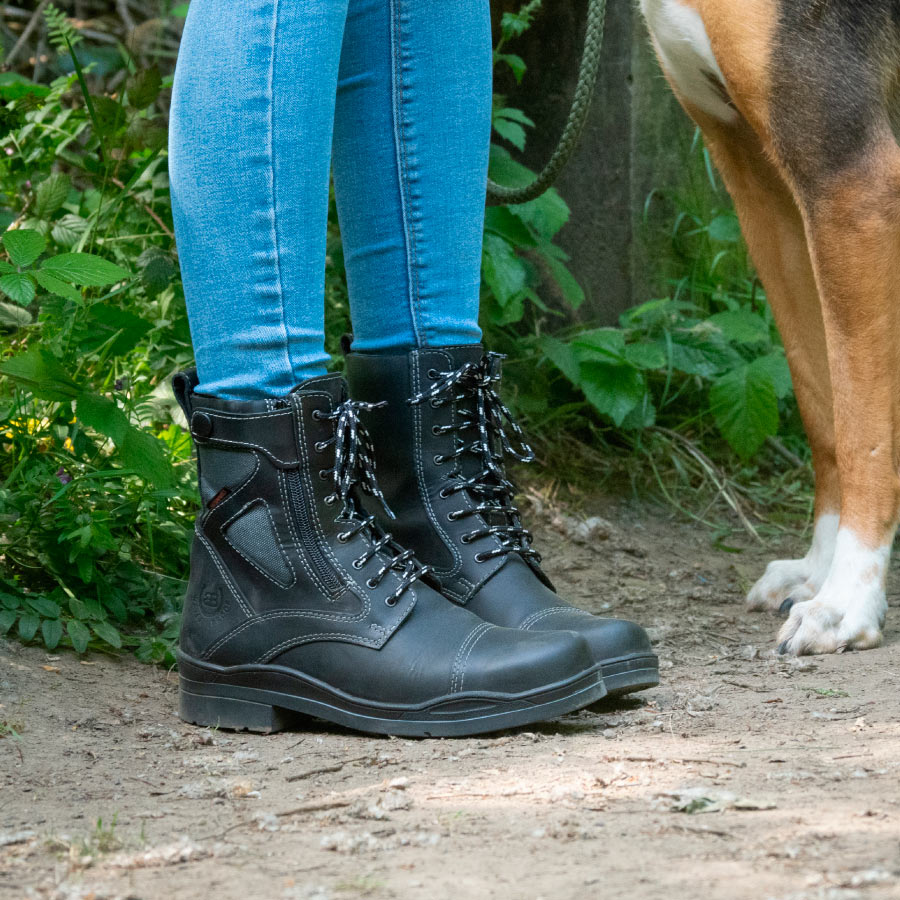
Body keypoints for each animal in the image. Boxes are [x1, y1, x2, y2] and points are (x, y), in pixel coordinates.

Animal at [644, 0, 896, 656]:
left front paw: (847, 599)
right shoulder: (764, 188)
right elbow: (823, 413)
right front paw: (819, 570)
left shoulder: (850, 179)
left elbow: (863, 433)